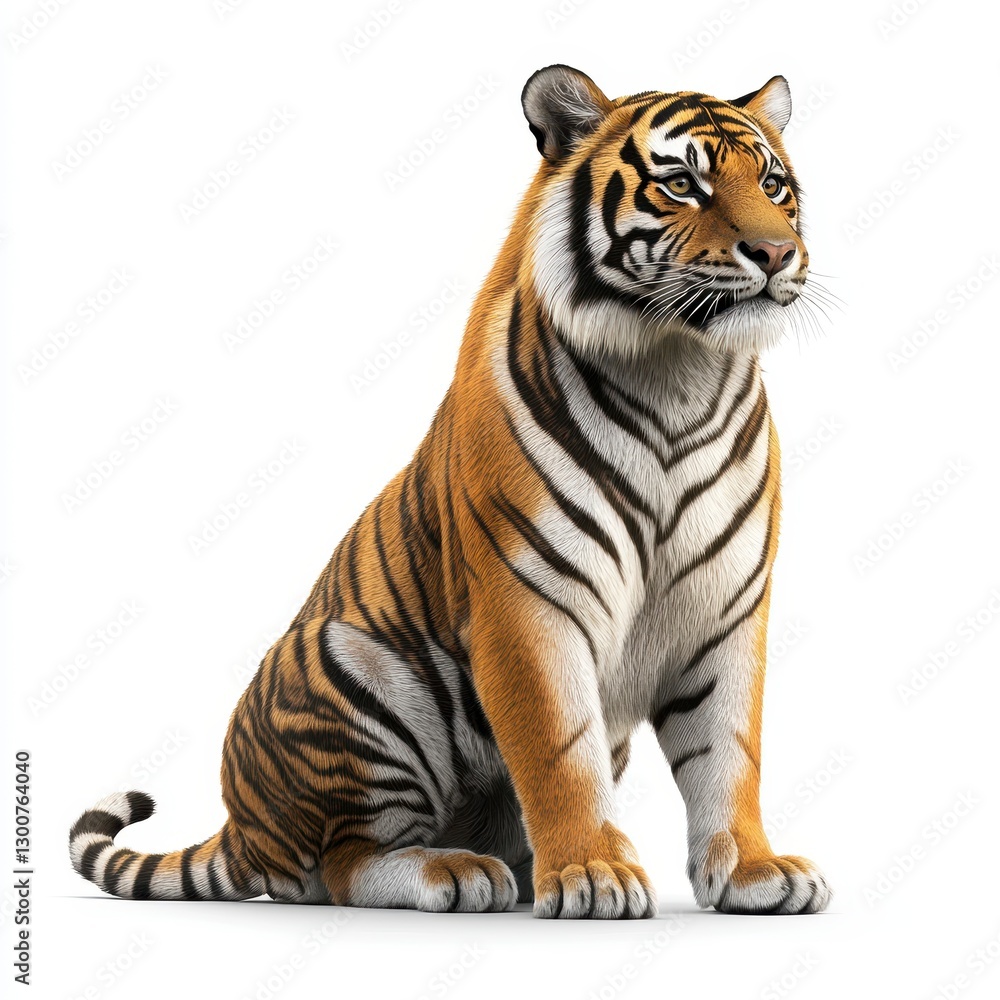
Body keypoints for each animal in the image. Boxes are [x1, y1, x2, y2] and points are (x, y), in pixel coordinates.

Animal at [70, 64, 832, 918]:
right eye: (681, 184)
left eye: (773, 184)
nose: (777, 252)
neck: (679, 370)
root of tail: (244, 829)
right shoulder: (529, 603)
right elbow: (561, 751)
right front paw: (595, 874)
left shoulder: (726, 606)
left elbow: (728, 750)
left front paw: (754, 872)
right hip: (353, 668)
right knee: (343, 862)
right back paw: (455, 871)